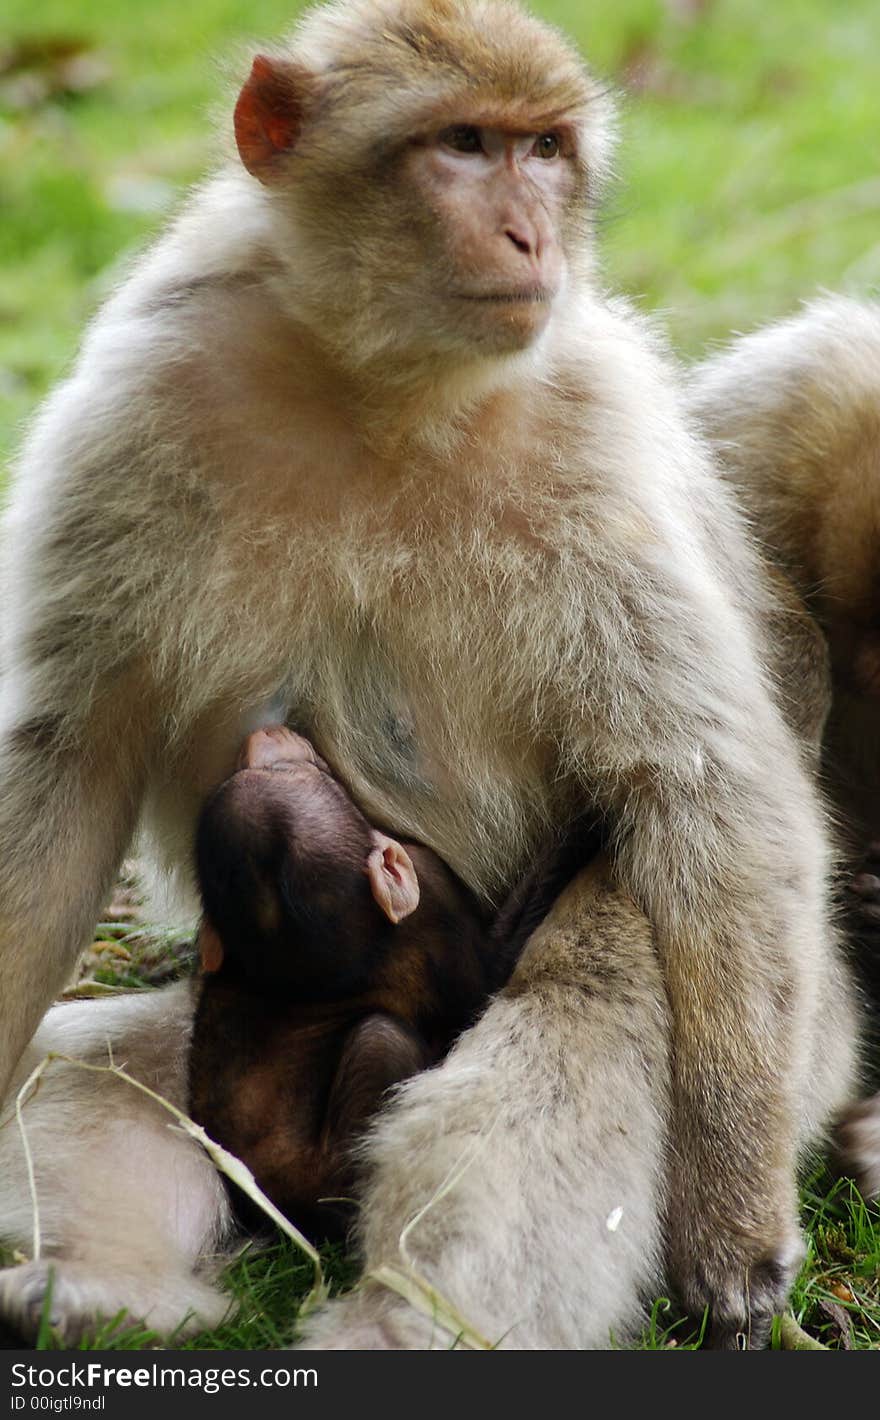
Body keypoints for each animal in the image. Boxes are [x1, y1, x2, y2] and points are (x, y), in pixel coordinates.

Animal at [190, 727, 576, 1238]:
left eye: (289, 769)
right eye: (309, 773)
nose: (265, 733)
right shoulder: (434, 899)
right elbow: (487, 981)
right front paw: (586, 820)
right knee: (380, 1035)